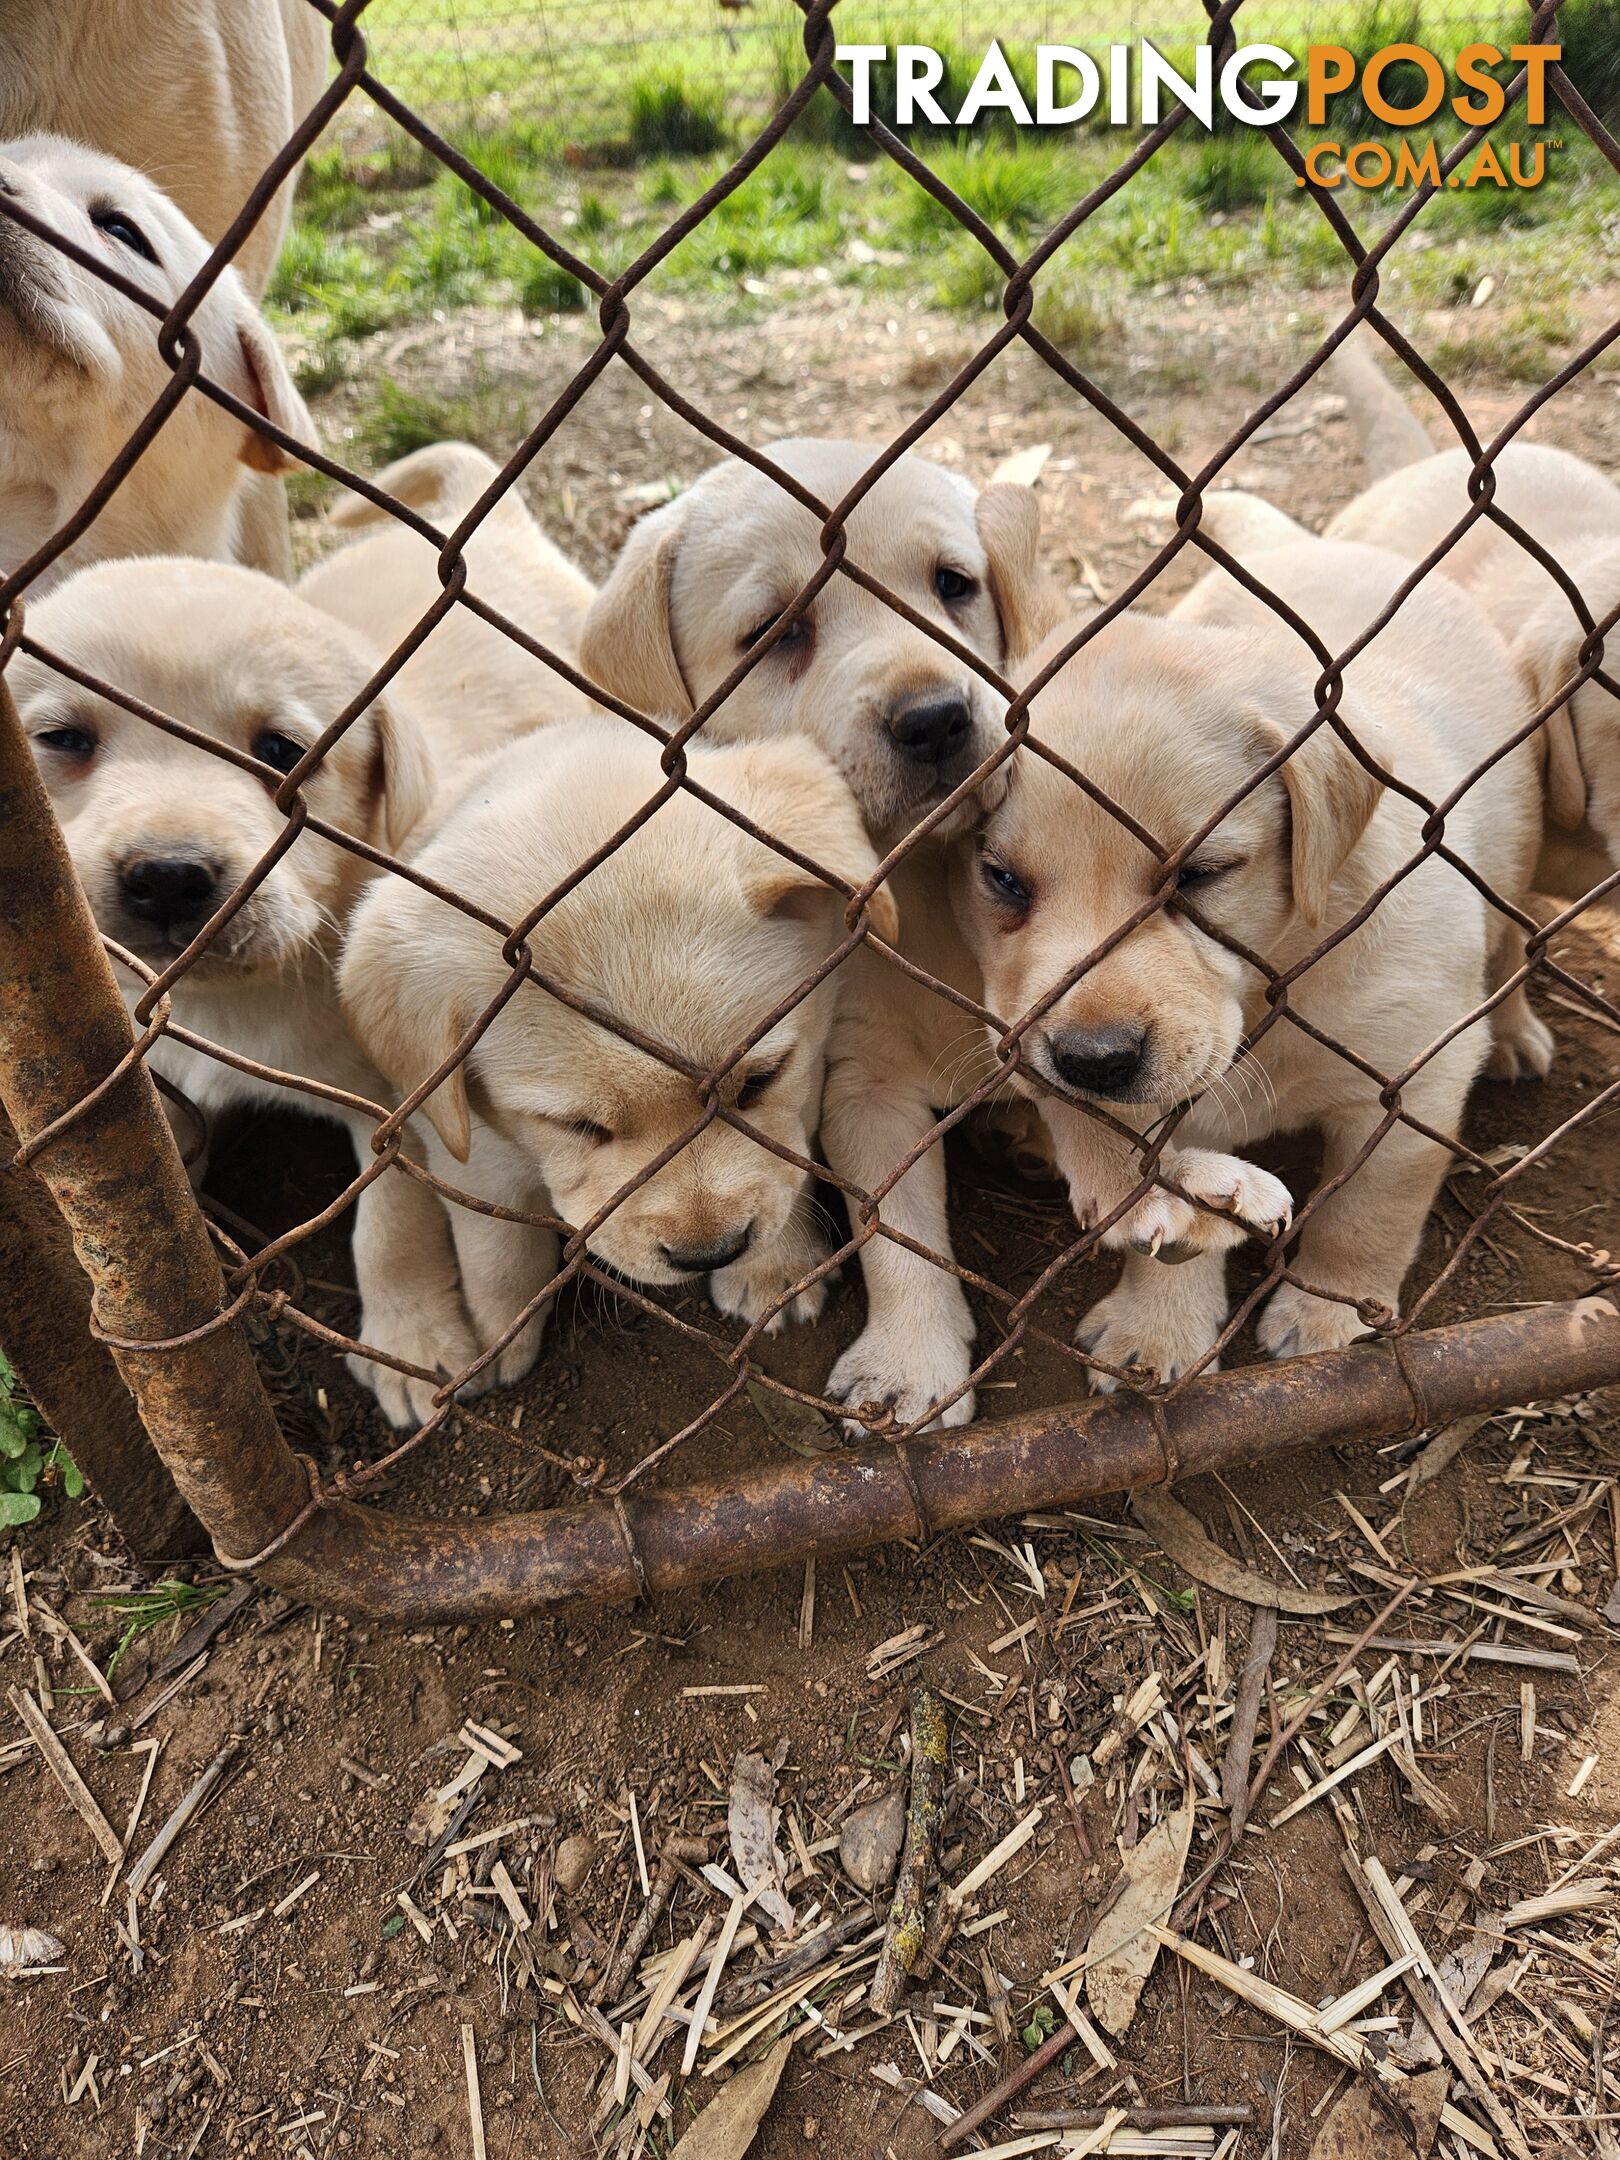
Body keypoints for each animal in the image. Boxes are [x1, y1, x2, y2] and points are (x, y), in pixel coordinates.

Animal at [12, 565, 486, 1425]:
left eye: (283, 752)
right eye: (61, 738)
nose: (170, 876)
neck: (222, 1005)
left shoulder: (394, 1103)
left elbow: (391, 1224)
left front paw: (412, 1341)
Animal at [343, 717, 902, 1408]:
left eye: (758, 1082)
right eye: (579, 1128)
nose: (711, 1253)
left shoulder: (808, 1068)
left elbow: (788, 1160)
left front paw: (776, 1265)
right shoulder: (450, 1130)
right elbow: (495, 1240)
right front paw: (488, 1331)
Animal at [950, 533, 1546, 1391]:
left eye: (1199, 876)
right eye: (1001, 878)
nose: (1090, 1062)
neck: (1276, 983)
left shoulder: (1413, 1080)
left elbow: (1370, 1207)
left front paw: (1332, 1311)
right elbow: (1170, 1216)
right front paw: (1157, 1328)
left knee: (1513, 940)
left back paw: (1516, 1033)